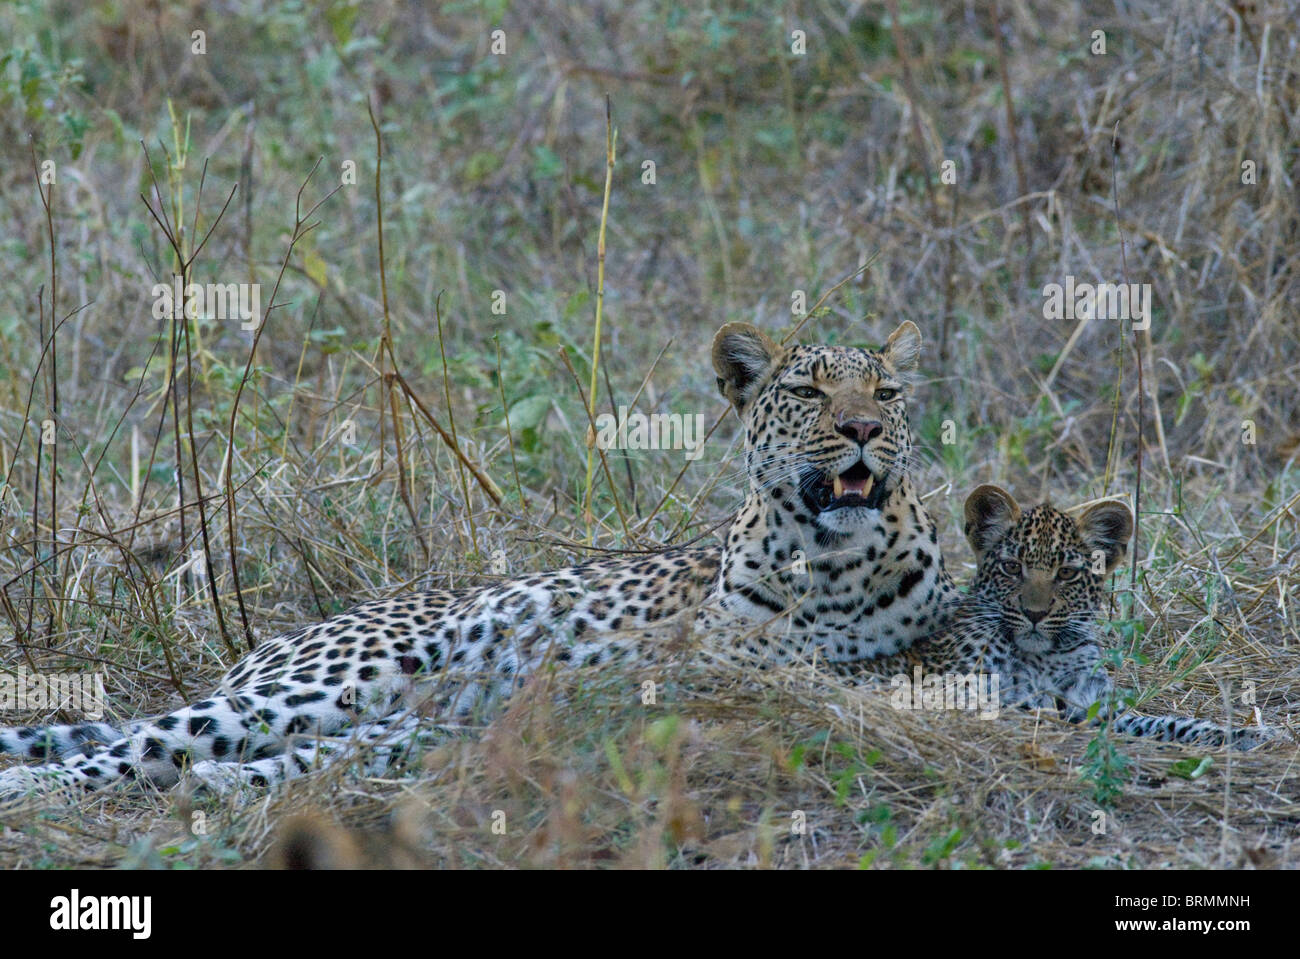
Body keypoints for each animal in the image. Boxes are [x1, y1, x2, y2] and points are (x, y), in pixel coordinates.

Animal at [0, 317, 956, 795]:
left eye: (887, 391)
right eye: (806, 391)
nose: (863, 428)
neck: (826, 565)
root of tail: (267, 646)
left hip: (392, 713)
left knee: (280, 756)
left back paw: (216, 786)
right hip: (324, 684)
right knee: (141, 744)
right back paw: (38, 791)